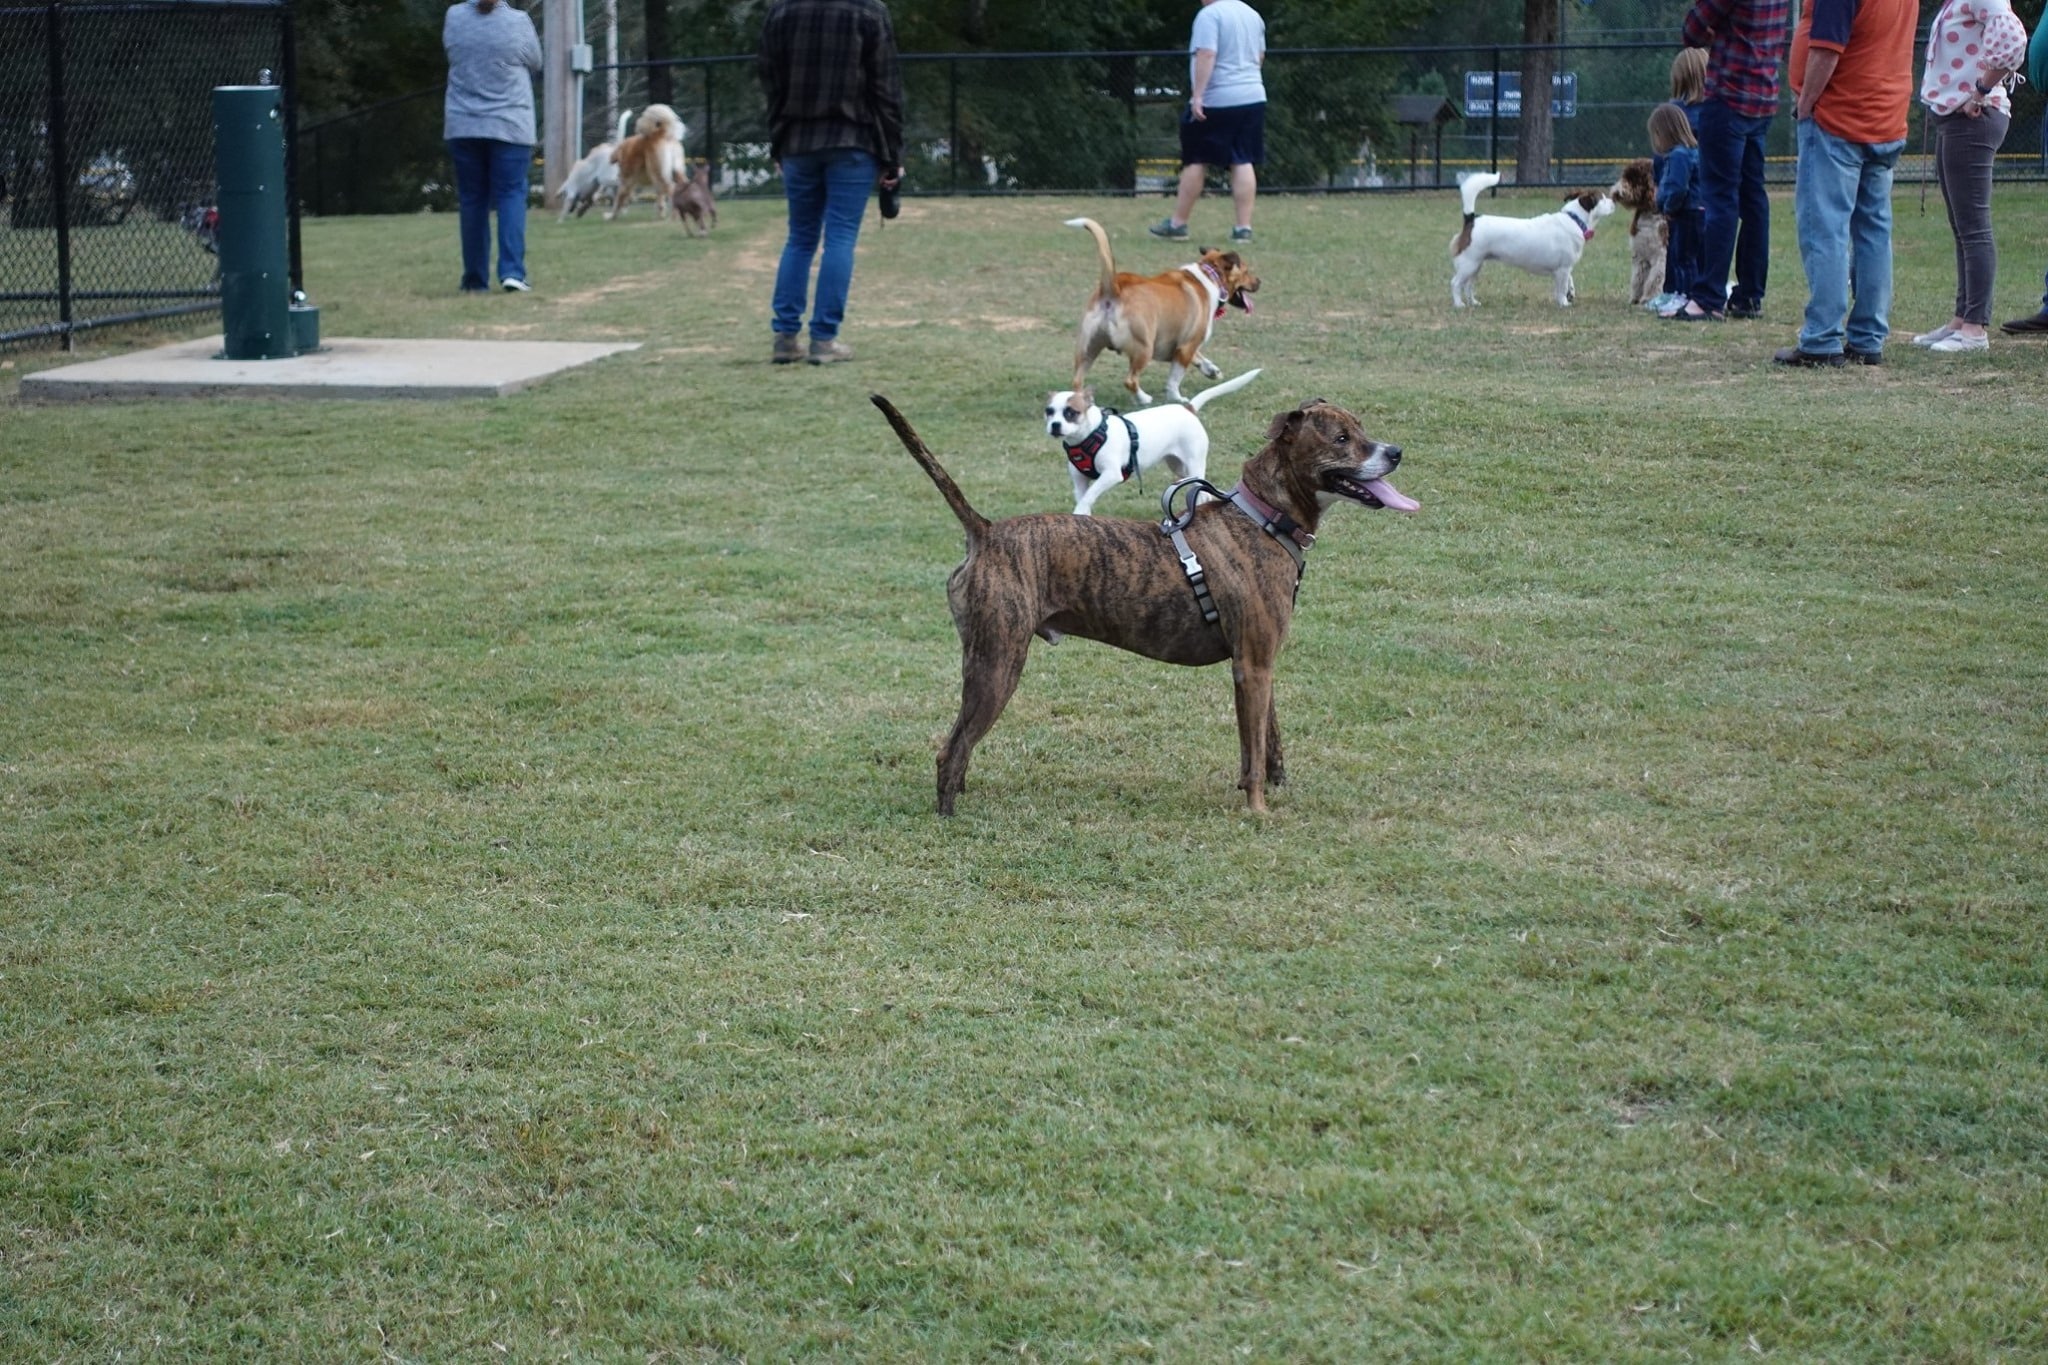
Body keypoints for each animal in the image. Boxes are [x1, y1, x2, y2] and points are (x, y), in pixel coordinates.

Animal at [872, 397, 1417, 822]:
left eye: (1362, 429)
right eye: (1342, 438)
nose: (1395, 452)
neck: (1263, 518)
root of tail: (984, 532)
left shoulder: (1262, 665)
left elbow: (1268, 739)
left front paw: (1277, 783)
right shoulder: (1251, 667)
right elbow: (1252, 752)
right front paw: (1258, 811)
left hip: (982, 659)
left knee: (961, 743)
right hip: (999, 664)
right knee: (951, 748)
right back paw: (949, 815)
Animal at [1048, 366, 1253, 515]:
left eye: (1071, 412)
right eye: (1049, 411)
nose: (1055, 425)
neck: (1091, 434)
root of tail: (1188, 409)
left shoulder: (1111, 474)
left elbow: (1089, 496)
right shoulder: (1079, 480)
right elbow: (1084, 497)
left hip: (1193, 462)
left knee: (1201, 489)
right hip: (1179, 467)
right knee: (1203, 487)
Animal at [1064, 215, 1253, 409]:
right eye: (1247, 271)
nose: (1259, 282)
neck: (1209, 275)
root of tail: (1113, 288)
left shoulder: (1183, 345)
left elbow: (1198, 357)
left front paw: (1211, 370)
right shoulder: (1187, 346)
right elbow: (1175, 379)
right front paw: (1177, 398)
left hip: (1088, 347)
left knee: (1077, 380)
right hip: (1144, 347)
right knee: (1130, 380)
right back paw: (1144, 398)